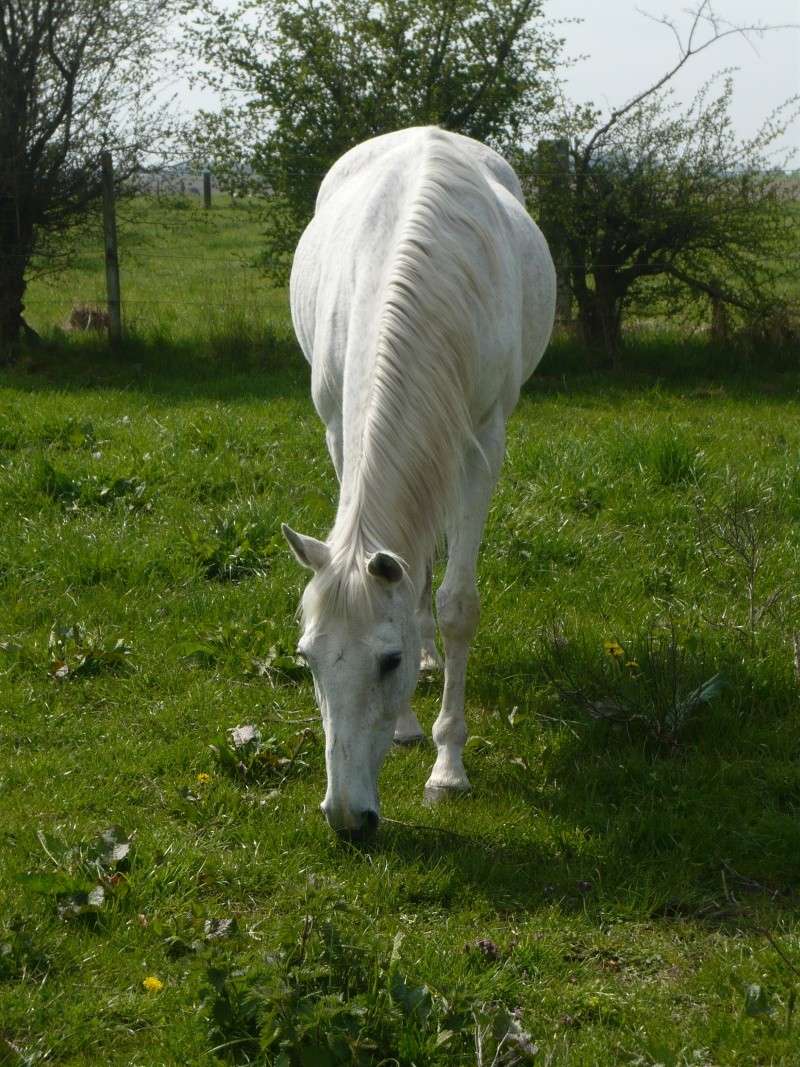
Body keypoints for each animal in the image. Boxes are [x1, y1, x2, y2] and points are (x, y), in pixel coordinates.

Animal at [283, 124, 558, 836]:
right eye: (307, 658)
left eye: (389, 661)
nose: (347, 818)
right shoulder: (339, 427)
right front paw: (410, 727)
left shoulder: (483, 442)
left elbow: (458, 605)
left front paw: (448, 767)